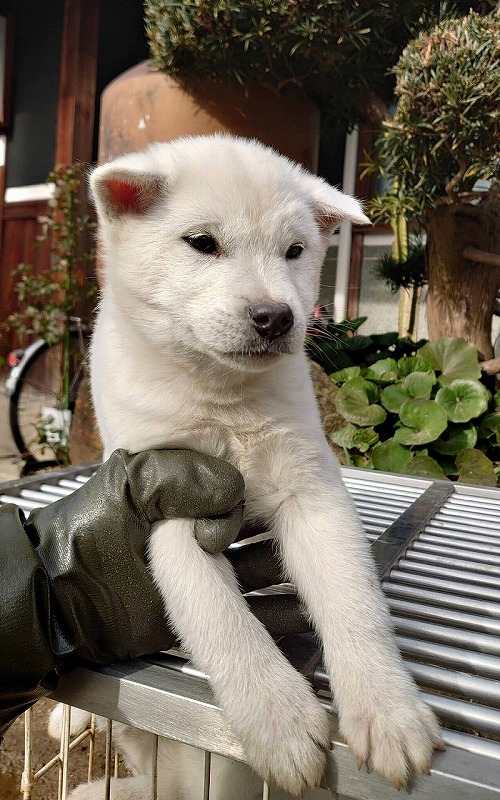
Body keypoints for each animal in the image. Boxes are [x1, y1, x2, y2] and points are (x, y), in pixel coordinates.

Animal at [53, 134, 442, 798]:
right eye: (202, 242)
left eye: (296, 252)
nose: (276, 317)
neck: (223, 398)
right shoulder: (170, 499)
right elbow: (219, 617)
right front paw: (278, 720)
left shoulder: (311, 488)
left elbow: (353, 599)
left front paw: (389, 711)